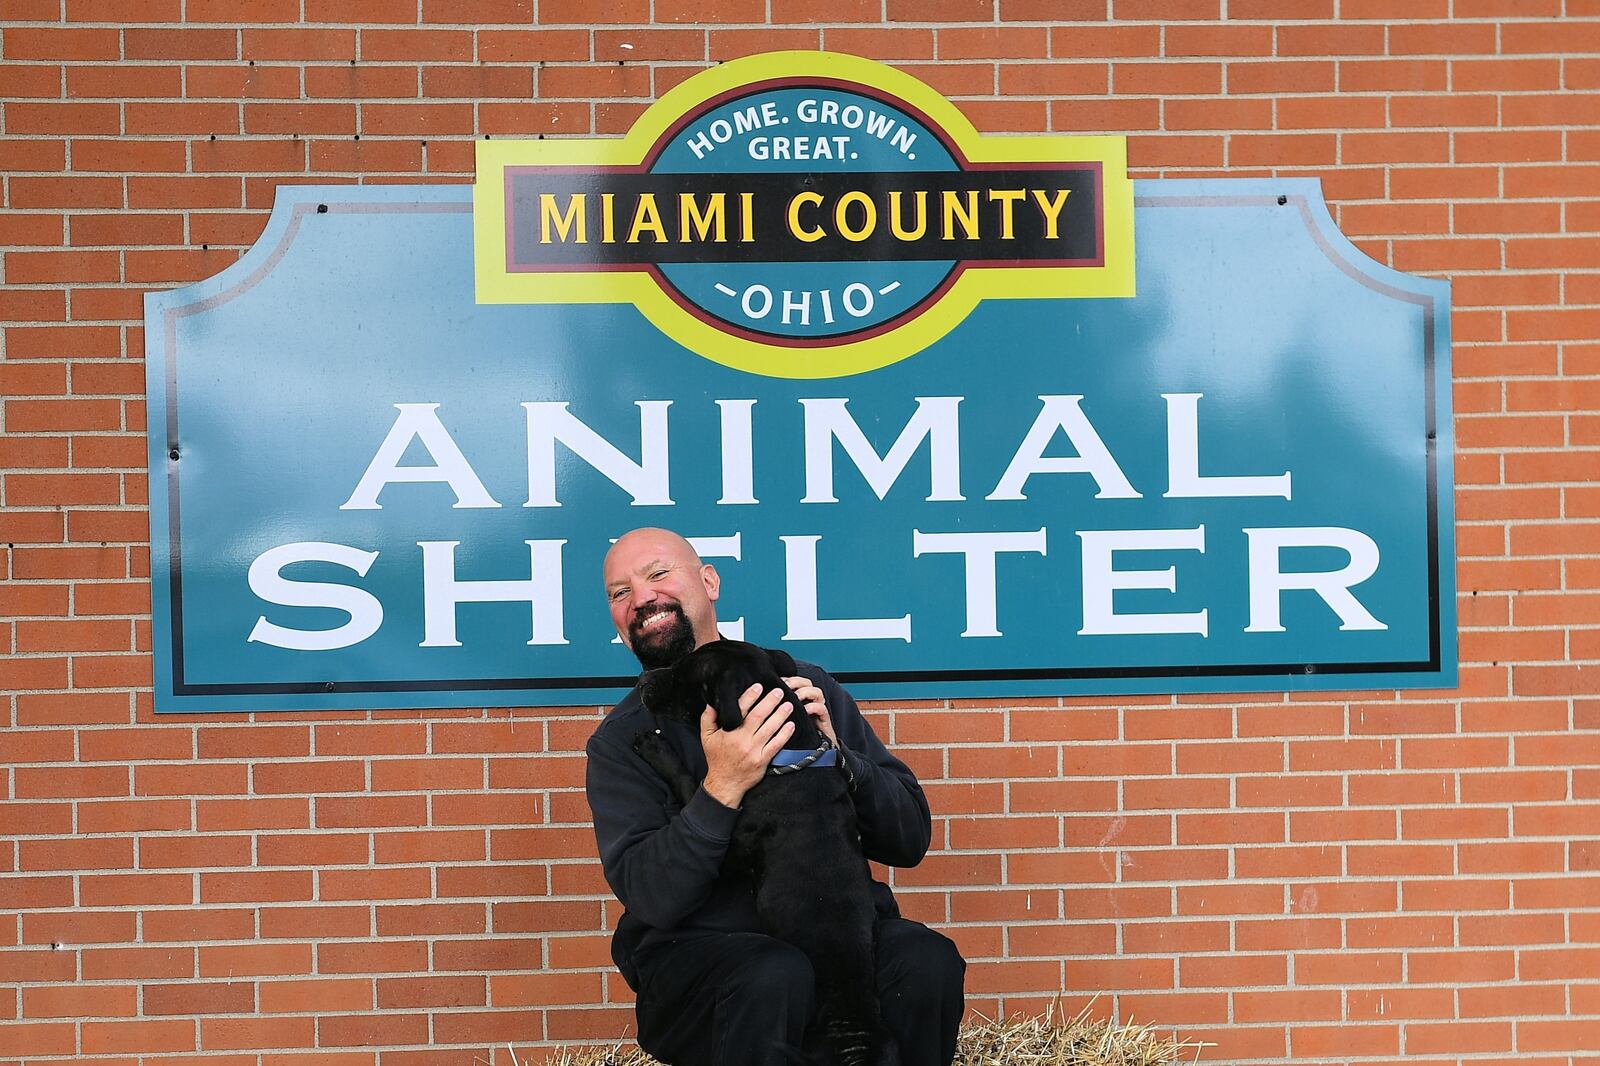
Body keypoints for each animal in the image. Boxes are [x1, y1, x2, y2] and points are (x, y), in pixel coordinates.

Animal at [630, 640, 902, 1062]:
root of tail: (859, 1038)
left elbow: (690, 781)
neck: (790, 757)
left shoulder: (729, 848)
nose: (643, 680)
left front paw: (655, 747)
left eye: (682, 674)